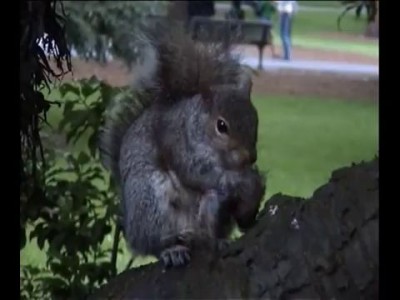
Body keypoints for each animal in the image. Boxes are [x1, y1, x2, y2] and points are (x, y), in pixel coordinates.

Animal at [97, 22, 266, 268]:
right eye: (221, 126)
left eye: (255, 120)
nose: (250, 157)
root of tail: (131, 227)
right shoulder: (178, 146)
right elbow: (196, 174)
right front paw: (237, 180)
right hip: (151, 203)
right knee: (155, 244)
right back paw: (172, 250)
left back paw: (218, 240)